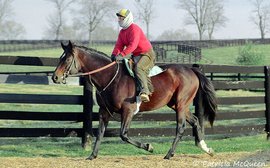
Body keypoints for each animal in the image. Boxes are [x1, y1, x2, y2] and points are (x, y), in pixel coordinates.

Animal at [52, 41, 217, 160]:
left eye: (67, 59)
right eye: (60, 57)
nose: (55, 77)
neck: (111, 77)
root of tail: (192, 70)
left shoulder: (128, 111)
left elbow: (123, 134)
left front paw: (149, 147)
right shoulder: (104, 111)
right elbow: (100, 133)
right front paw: (92, 155)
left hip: (181, 105)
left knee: (181, 128)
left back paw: (169, 154)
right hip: (177, 105)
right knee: (195, 121)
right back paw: (206, 149)